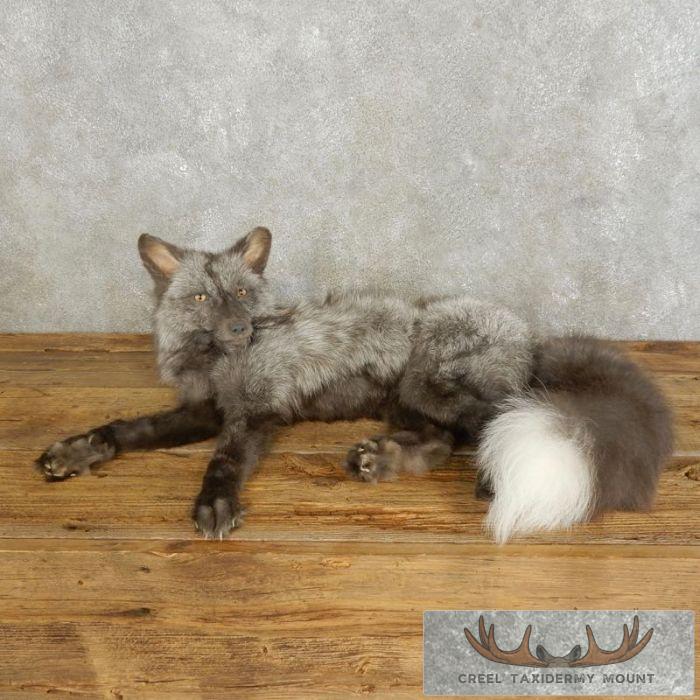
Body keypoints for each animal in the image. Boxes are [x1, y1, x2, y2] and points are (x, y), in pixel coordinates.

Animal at [36, 227, 673, 541]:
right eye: (199, 298)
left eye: (240, 292)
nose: (242, 327)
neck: (215, 362)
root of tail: (530, 338)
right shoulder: (205, 410)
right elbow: (125, 429)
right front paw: (77, 451)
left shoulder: (253, 414)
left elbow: (223, 459)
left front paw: (216, 503)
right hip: (408, 403)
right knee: (444, 442)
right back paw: (382, 459)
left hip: (432, 385)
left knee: (497, 420)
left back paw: (482, 477)